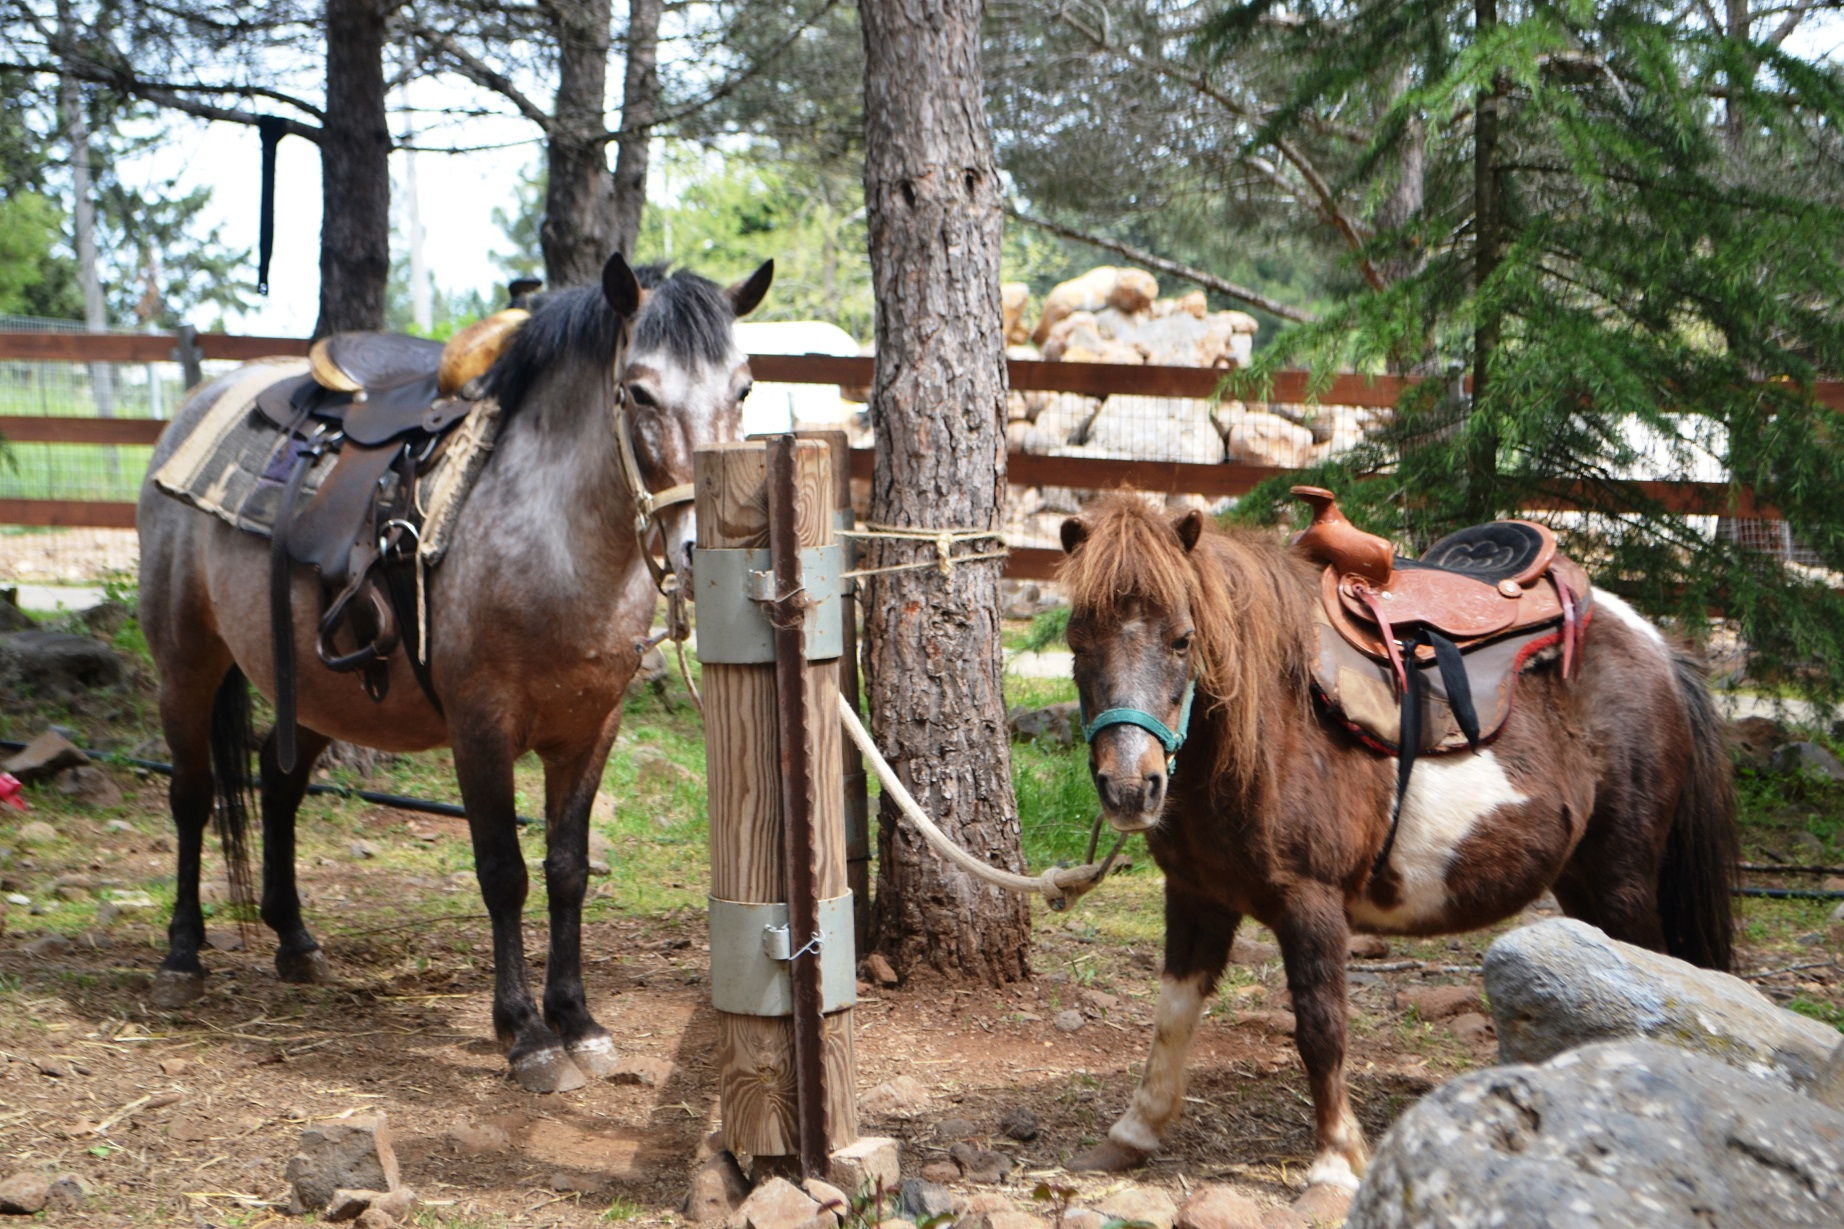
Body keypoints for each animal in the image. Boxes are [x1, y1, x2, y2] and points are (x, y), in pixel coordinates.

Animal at [136, 252, 770, 1085]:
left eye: (743, 388)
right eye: (638, 391)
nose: (703, 546)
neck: (552, 542)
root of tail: (197, 405)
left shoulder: (591, 728)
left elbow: (568, 867)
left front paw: (578, 1018)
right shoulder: (480, 727)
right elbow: (504, 871)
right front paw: (526, 1033)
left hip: (317, 690)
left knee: (278, 783)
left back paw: (295, 939)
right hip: (185, 661)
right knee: (190, 794)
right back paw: (180, 955)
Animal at [1062, 494, 1733, 1188]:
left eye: (1183, 639)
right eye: (1077, 641)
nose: (1130, 788)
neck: (1269, 725)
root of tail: (1659, 649)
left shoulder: (1312, 904)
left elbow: (1320, 1026)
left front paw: (1336, 1158)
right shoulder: (1197, 895)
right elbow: (1172, 1013)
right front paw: (1132, 1133)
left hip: (1623, 880)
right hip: (1581, 883)